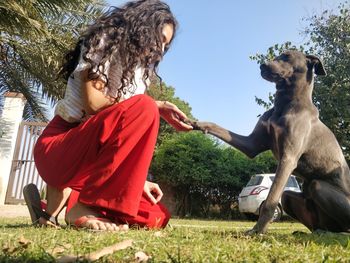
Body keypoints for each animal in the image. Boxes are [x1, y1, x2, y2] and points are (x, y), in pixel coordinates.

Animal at [191, 51, 350, 235]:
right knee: (312, 220)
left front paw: (257, 230)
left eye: (287, 56)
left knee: (340, 222)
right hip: (289, 197)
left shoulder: (288, 158)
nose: (263, 66)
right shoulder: (251, 145)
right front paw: (196, 123)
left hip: (319, 187)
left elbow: (270, 201)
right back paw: (313, 231)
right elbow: (220, 129)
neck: (286, 103)